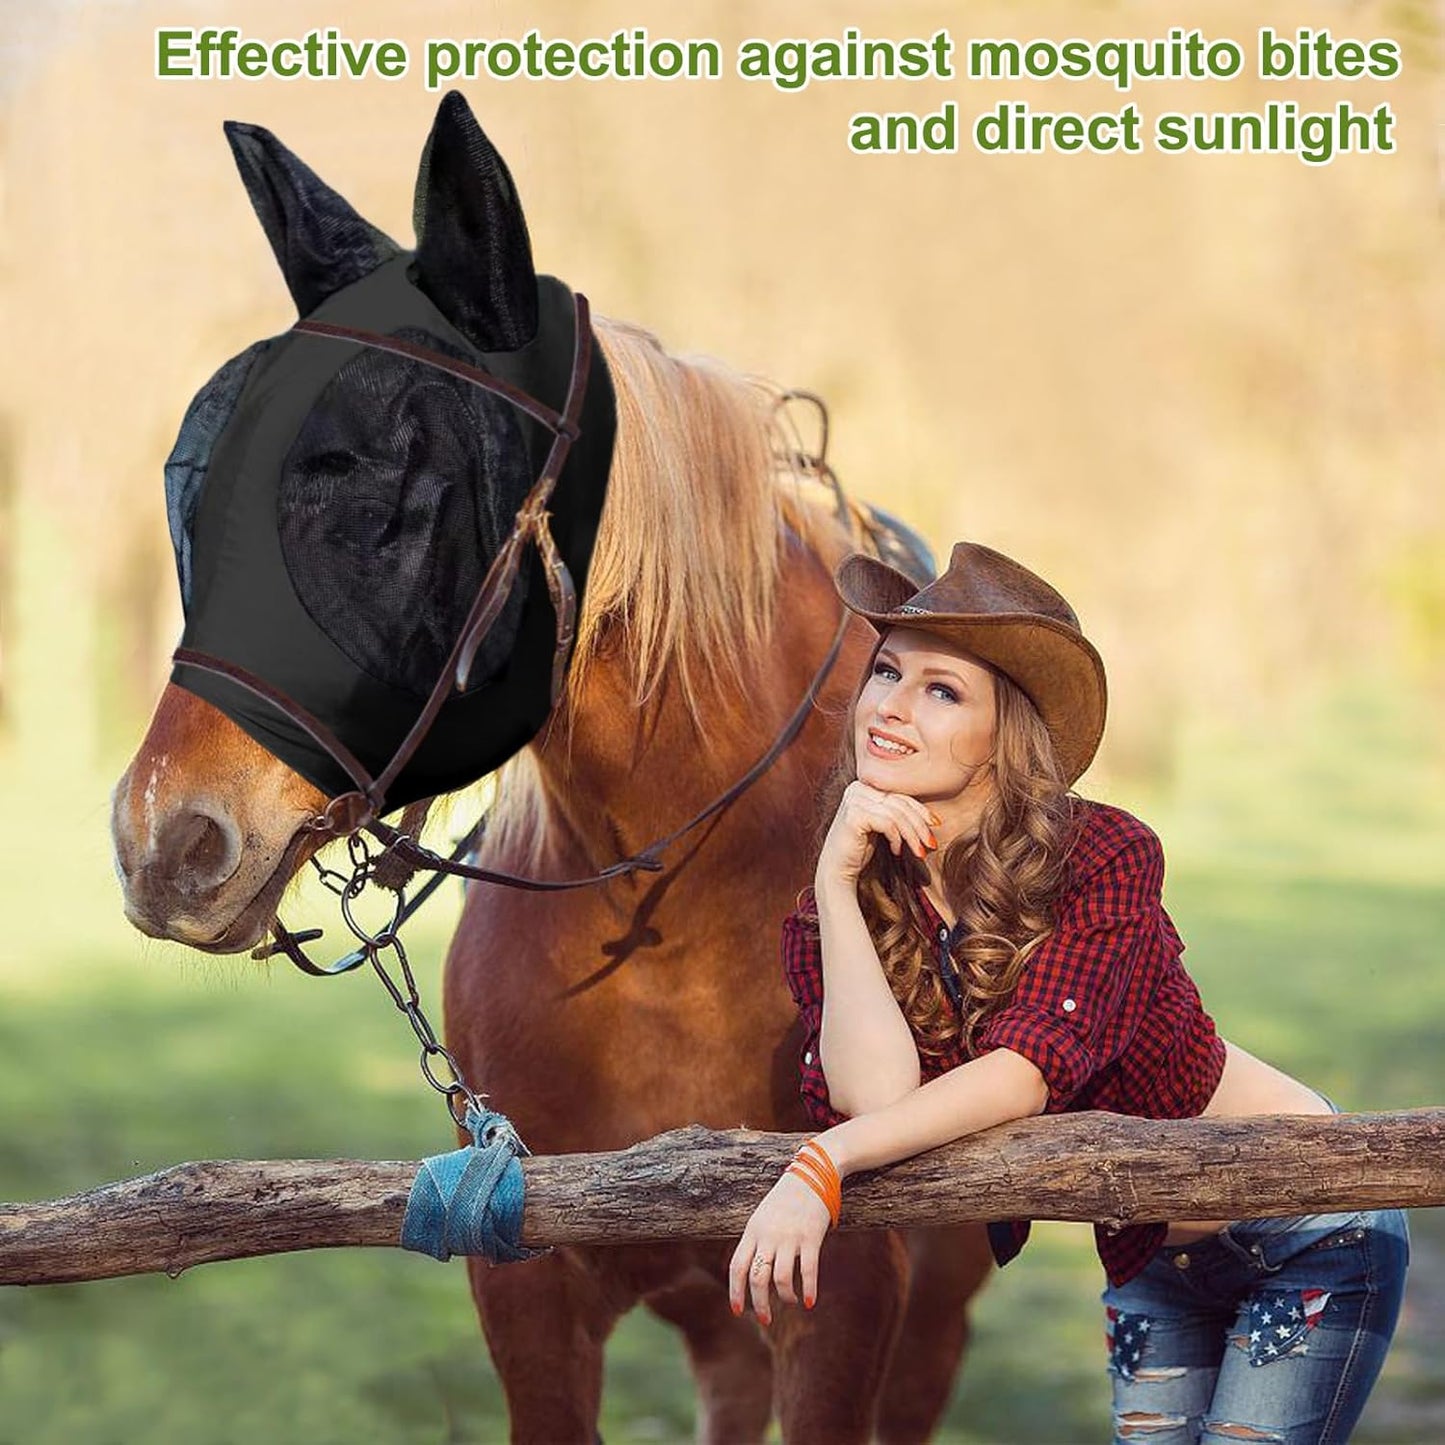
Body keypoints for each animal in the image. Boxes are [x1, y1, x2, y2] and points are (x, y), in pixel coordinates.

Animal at [110, 94, 994, 1444]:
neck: (683, 906)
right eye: (193, 496)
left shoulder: (847, 1293)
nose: (165, 837)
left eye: (382, 487)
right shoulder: (526, 1282)